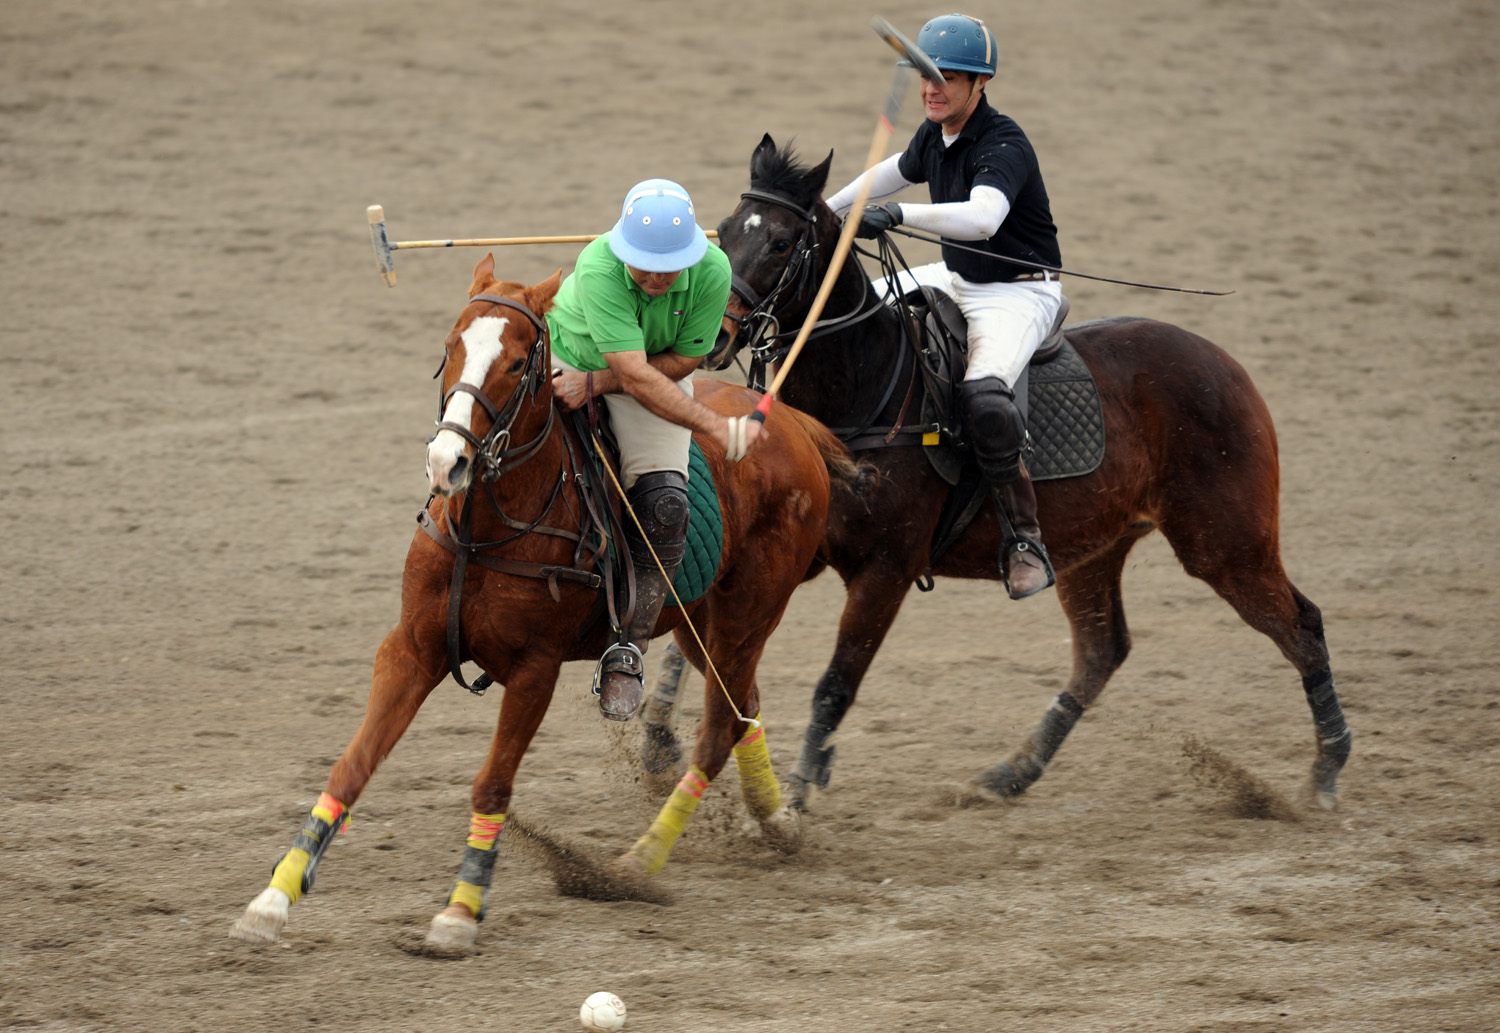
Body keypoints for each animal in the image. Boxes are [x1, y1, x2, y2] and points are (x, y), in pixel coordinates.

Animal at [228, 253, 852, 947]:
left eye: (515, 364)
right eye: (449, 346)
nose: (447, 463)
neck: (486, 529)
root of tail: (792, 424)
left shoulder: (535, 669)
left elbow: (493, 785)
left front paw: (460, 911)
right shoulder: (410, 648)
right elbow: (352, 763)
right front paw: (273, 899)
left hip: (749, 614)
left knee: (719, 728)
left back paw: (633, 866)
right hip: (698, 620)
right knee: (743, 707)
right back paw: (776, 821)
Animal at [639, 134, 1356, 815]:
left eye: (782, 241)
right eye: (723, 230)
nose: (711, 336)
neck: (862, 388)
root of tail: (1227, 363)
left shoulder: (886, 569)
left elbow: (835, 683)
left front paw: (798, 790)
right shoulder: (792, 545)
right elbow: (698, 647)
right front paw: (656, 743)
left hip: (1226, 543)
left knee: (1303, 625)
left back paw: (1326, 773)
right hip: (1095, 548)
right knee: (1102, 651)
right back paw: (1010, 774)